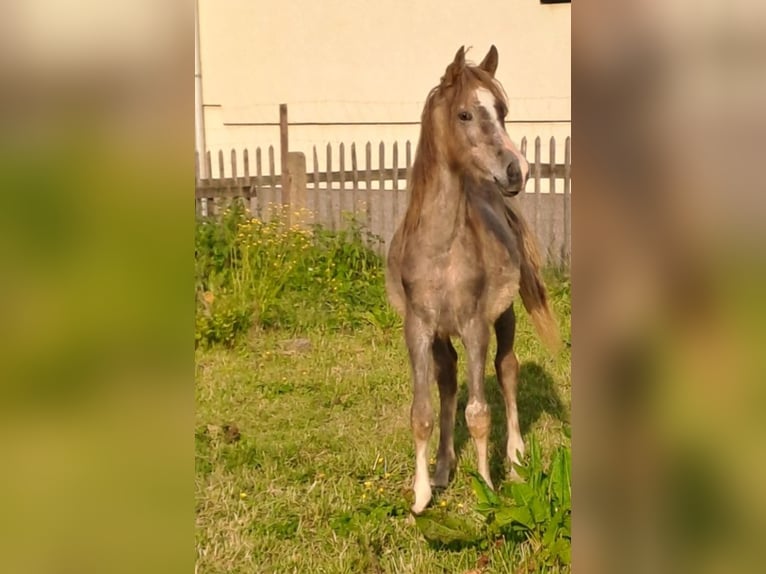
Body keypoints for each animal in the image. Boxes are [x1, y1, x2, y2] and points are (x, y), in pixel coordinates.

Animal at [388, 44, 560, 512]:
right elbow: (422, 412)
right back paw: (445, 466)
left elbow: (480, 413)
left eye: (502, 111)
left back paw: (515, 459)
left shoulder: (474, 325)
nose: (517, 171)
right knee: (448, 381)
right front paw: (421, 496)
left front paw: (486, 485)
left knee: (507, 369)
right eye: (465, 114)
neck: (440, 247)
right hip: (442, 334)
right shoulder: (419, 326)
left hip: (504, 316)